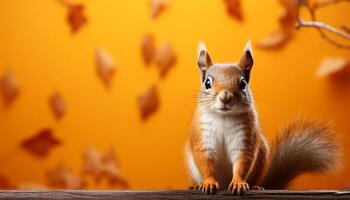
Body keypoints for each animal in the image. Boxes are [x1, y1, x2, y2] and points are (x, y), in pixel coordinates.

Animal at [186, 41, 342, 195]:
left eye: (243, 83)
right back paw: (196, 186)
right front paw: (208, 183)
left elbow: (242, 163)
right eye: (207, 83)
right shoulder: (202, 137)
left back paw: (256, 187)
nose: (225, 97)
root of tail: (224, 184)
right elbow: (204, 162)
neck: (224, 117)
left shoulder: (245, 137)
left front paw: (238, 183)